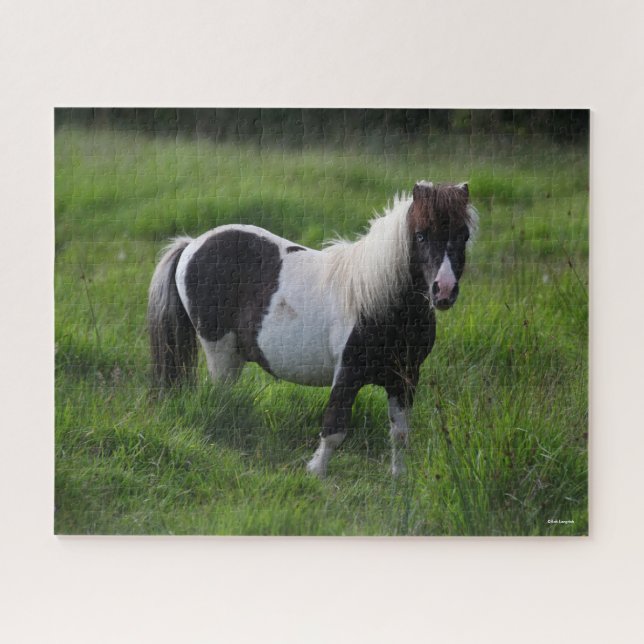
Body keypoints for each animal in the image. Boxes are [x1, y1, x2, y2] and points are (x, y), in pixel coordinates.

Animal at [147, 181, 478, 476]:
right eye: (421, 235)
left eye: (464, 235)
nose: (444, 291)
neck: (378, 301)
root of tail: (191, 244)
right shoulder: (347, 374)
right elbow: (334, 428)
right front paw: (316, 473)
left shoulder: (405, 378)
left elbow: (400, 433)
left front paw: (399, 479)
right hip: (220, 352)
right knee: (219, 397)